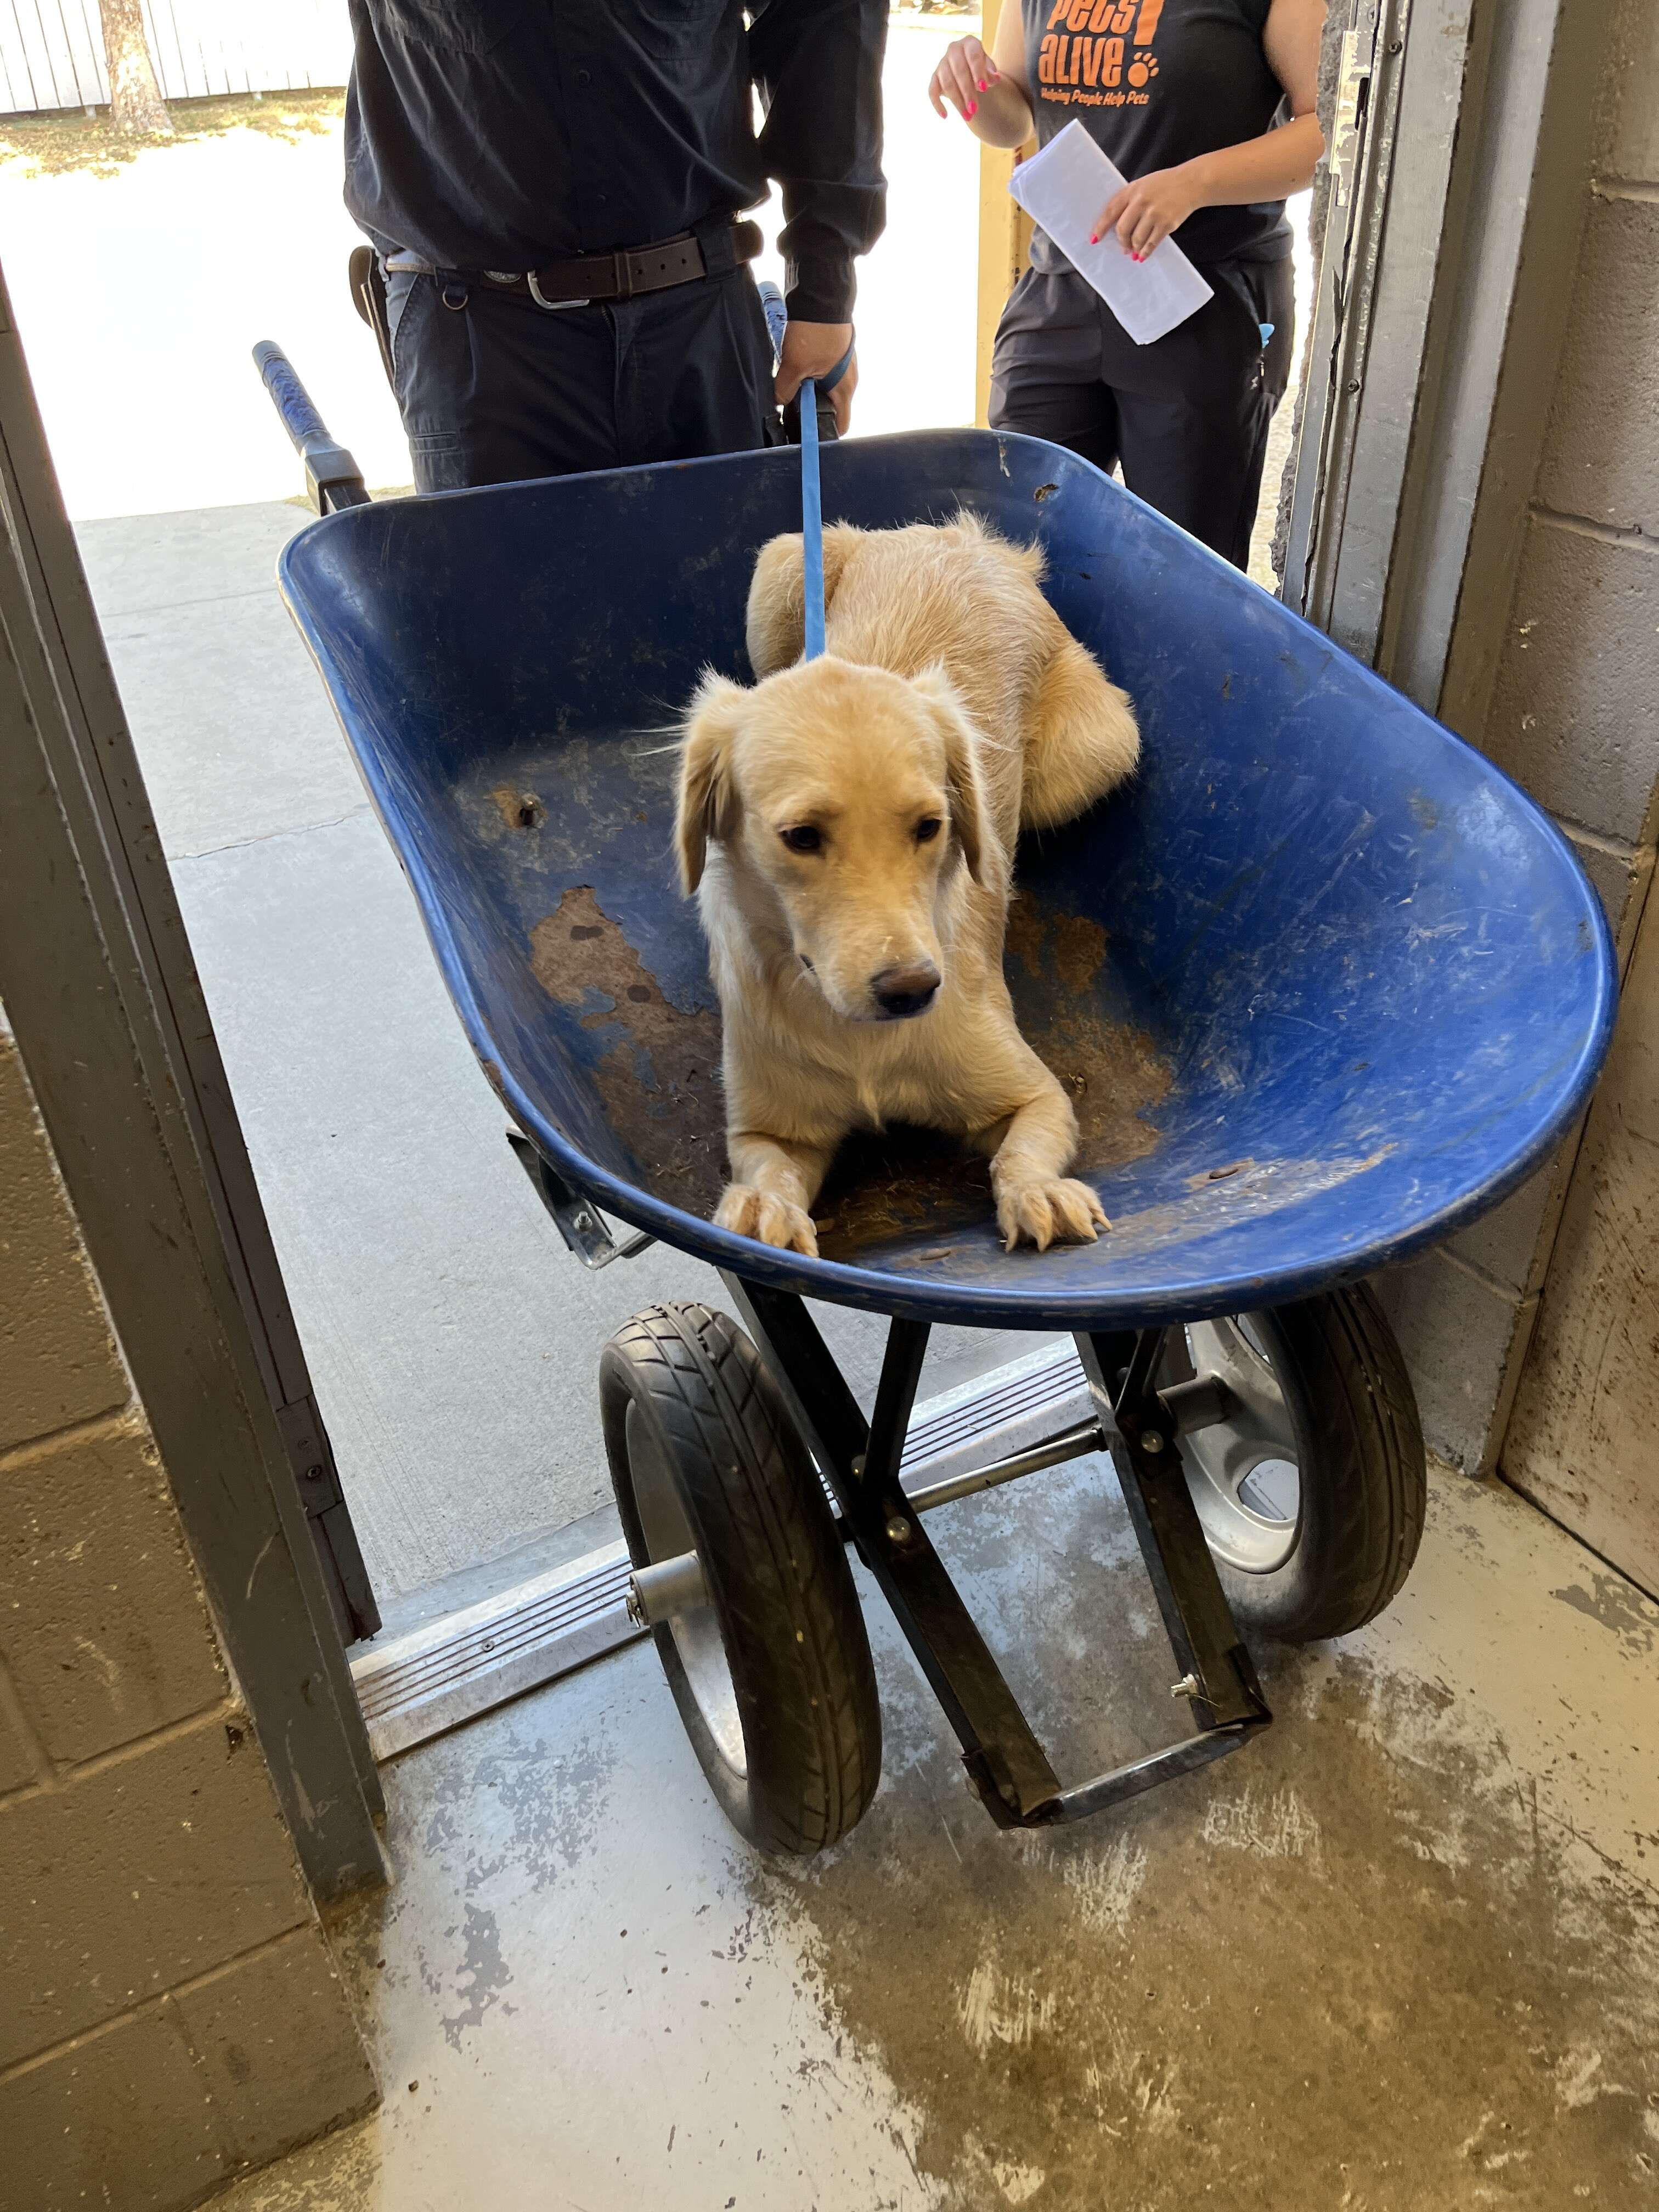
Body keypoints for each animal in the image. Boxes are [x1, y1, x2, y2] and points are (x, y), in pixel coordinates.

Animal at [676, 506, 1141, 1256]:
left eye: (931, 826)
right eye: (801, 837)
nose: (912, 990)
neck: (856, 1038)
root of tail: (965, 539)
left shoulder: (1034, 1093)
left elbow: (1021, 1149)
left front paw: (1039, 1191)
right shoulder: (766, 1128)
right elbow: (771, 1169)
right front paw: (764, 1208)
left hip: (1097, 749)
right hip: (780, 569)